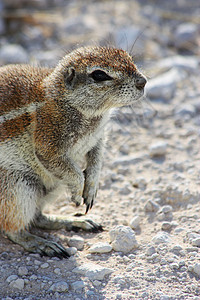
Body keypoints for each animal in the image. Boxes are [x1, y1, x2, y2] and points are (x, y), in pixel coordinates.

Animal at [0, 45, 147, 256]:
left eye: (129, 57)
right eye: (99, 75)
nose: (143, 82)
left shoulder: (98, 138)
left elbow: (96, 158)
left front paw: (91, 187)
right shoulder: (48, 136)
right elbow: (69, 170)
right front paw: (79, 192)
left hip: (52, 187)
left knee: (38, 218)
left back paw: (74, 221)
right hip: (18, 189)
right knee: (13, 229)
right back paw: (41, 243)